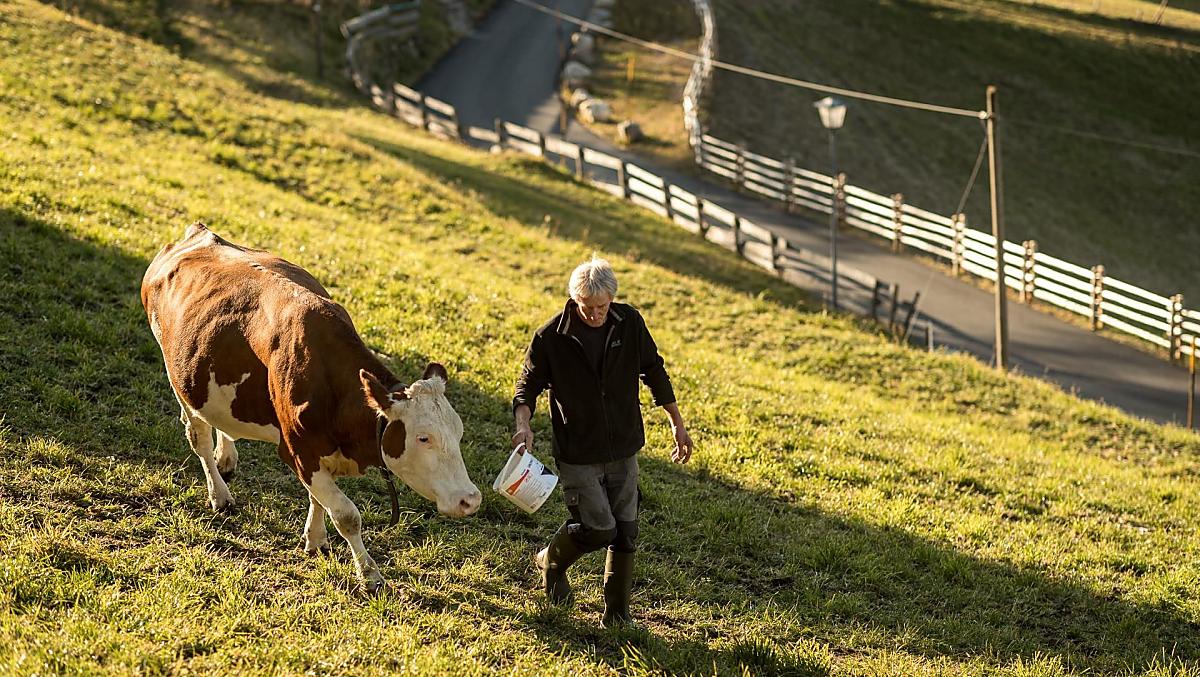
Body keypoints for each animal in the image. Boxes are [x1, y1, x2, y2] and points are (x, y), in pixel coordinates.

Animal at [140, 223, 481, 593]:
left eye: (460, 434)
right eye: (423, 438)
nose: (470, 499)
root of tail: (198, 233)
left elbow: (318, 499)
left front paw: (315, 539)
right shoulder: (298, 450)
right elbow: (346, 515)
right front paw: (369, 575)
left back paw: (226, 455)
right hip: (178, 379)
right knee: (198, 436)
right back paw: (220, 495)